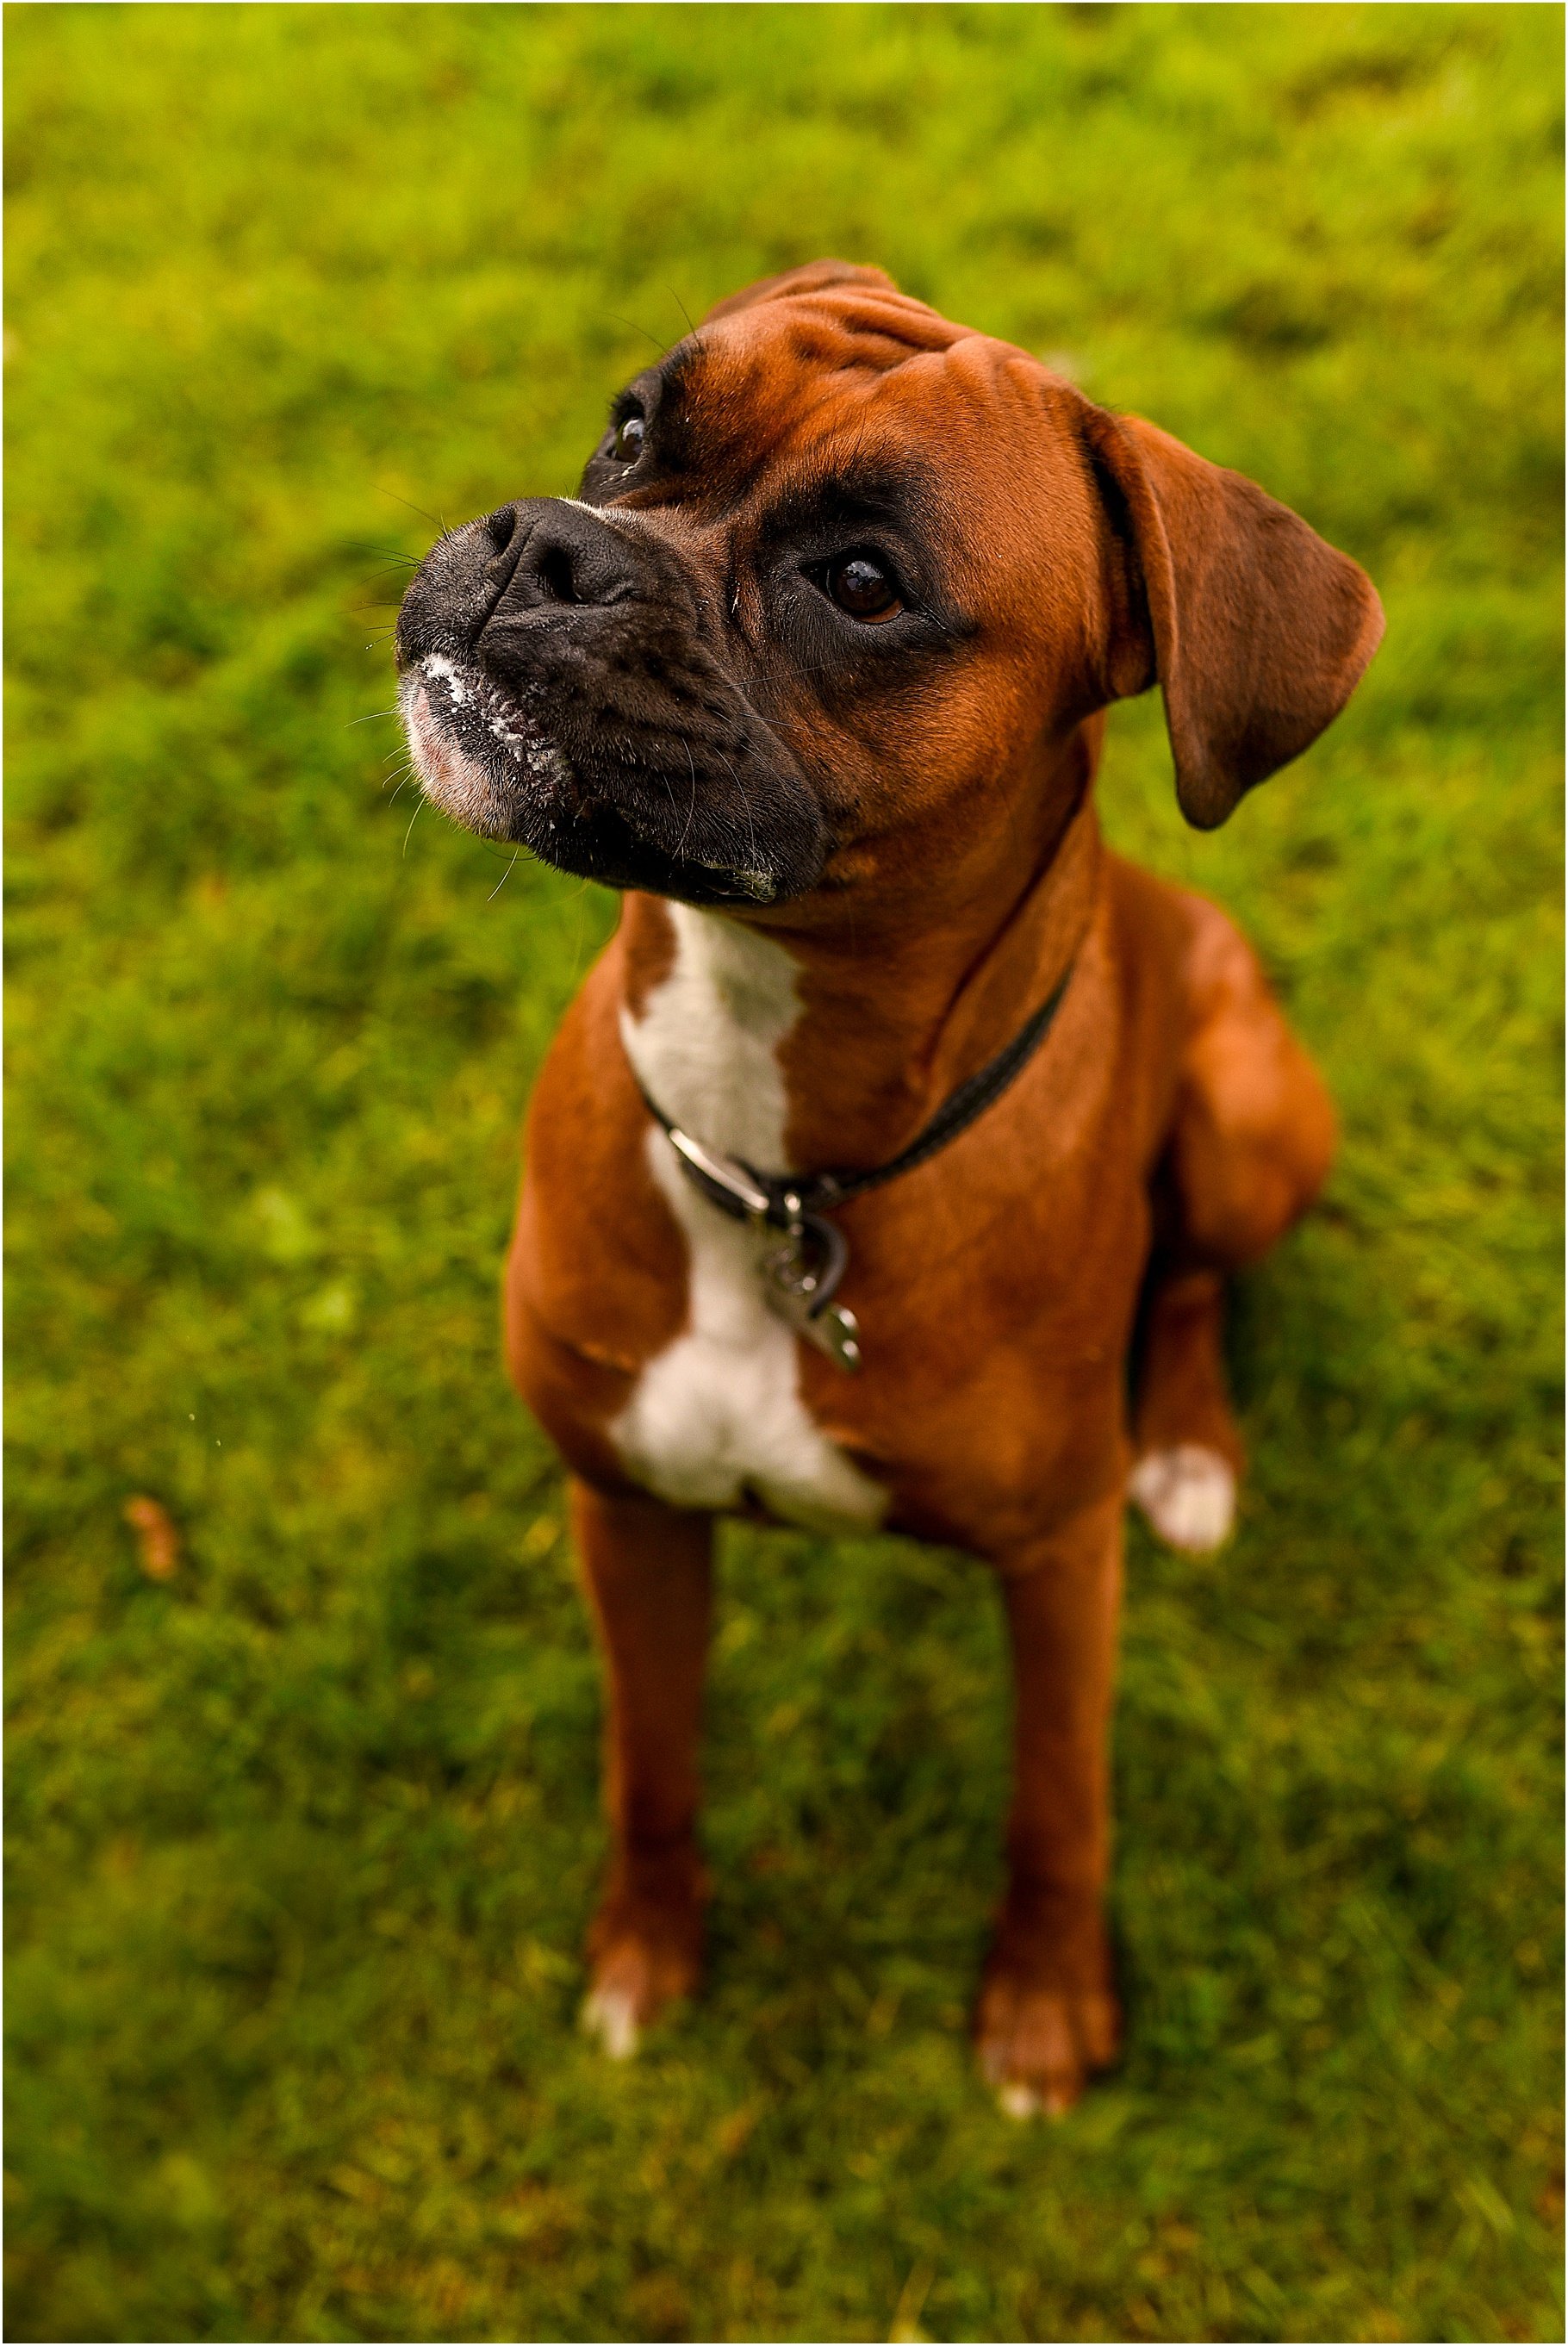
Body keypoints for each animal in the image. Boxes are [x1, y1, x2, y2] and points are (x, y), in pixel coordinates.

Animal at [399, 266, 1380, 2120]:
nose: (545, 542)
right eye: (633, 424)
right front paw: (643, 1956)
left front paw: (1045, 2011)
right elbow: (650, 1762)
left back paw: (1191, 1450)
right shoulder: (624, 1509)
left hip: (1243, 1108)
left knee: (1194, 1282)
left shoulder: (1059, 1565)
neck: (785, 1168)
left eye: (863, 583)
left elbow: (1057, 1803)